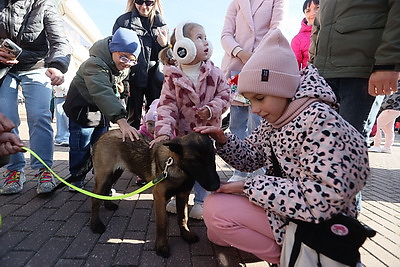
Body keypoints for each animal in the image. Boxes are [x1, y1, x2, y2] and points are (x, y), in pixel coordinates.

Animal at [89, 130, 220, 258]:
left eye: (213, 156)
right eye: (195, 161)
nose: (216, 186)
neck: (178, 167)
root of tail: (103, 135)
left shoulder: (183, 195)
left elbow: (183, 217)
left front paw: (186, 234)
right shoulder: (159, 197)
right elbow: (162, 223)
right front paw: (161, 245)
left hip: (116, 172)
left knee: (107, 189)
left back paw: (108, 205)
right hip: (104, 175)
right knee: (95, 198)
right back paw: (96, 224)